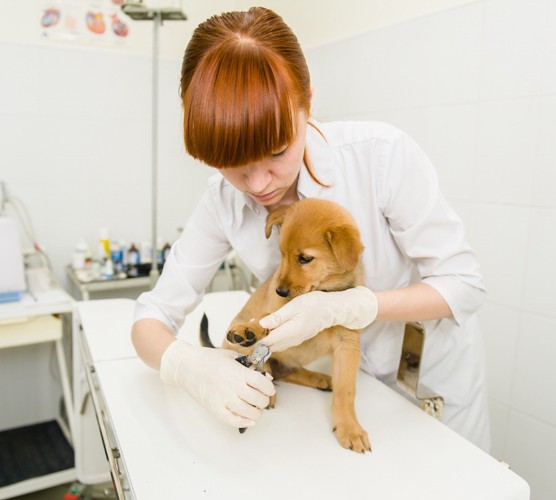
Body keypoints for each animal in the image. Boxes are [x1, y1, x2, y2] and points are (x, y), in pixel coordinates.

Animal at [203, 199, 370, 454]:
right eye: (282, 254)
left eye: (305, 258)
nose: (279, 291)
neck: (324, 293)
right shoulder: (280, 310)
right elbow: (266, 317)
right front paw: (249, 330)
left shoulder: (347, 344)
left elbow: (346, 390)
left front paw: (349, 428)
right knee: (270, 370)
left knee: (287, 372)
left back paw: (320, 379)